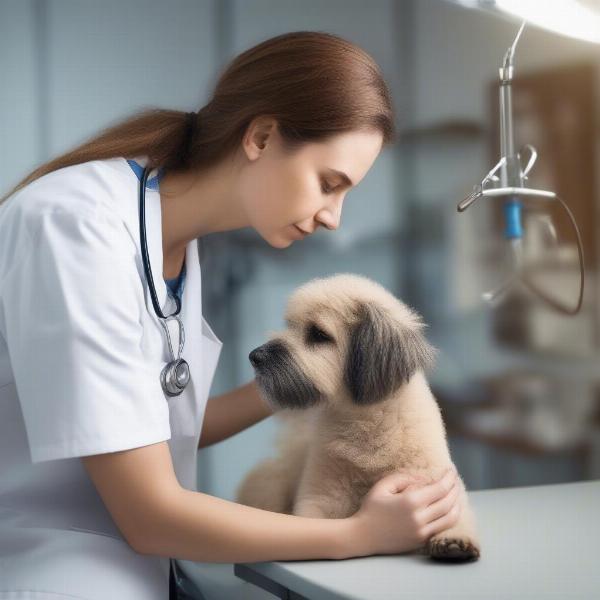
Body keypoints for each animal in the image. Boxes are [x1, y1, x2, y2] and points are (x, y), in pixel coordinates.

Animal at [237, 274, 480, 560]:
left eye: (318, 334)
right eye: (289, 326)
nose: (255, 356)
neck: (367, 423)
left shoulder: (439, 488)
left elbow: (457, 516)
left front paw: (453, 538)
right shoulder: (321, 499)